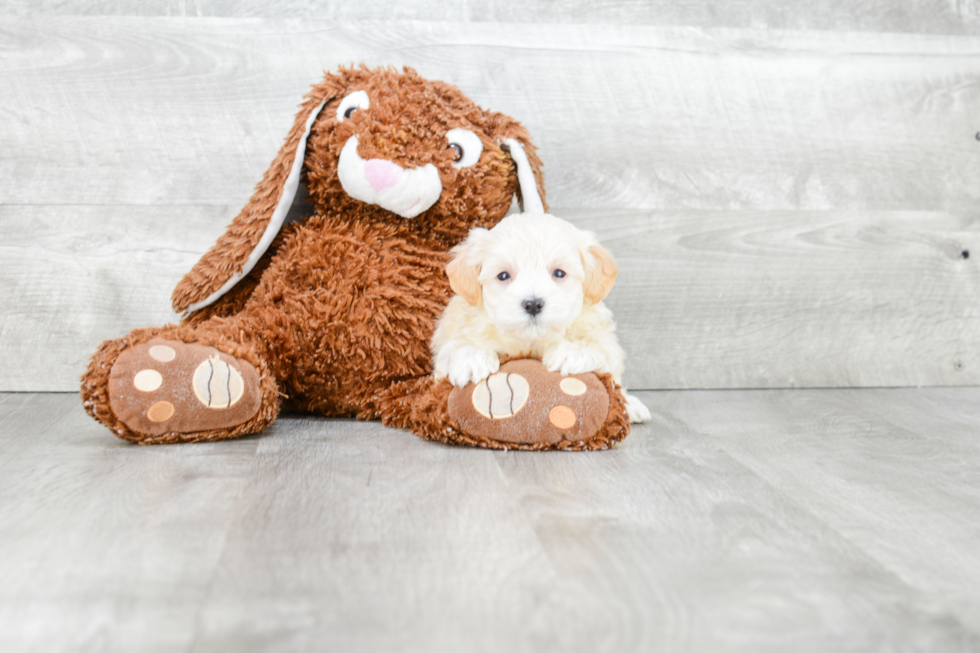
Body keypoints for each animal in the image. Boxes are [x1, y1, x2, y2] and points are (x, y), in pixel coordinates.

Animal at [430, 213, 652, 422]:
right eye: (503, 275)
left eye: (559, 273)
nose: (533, 304)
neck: (531, 341)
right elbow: (455, 346)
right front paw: (472, 356)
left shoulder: (602, 336)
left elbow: (603, 353)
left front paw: (572, 352)